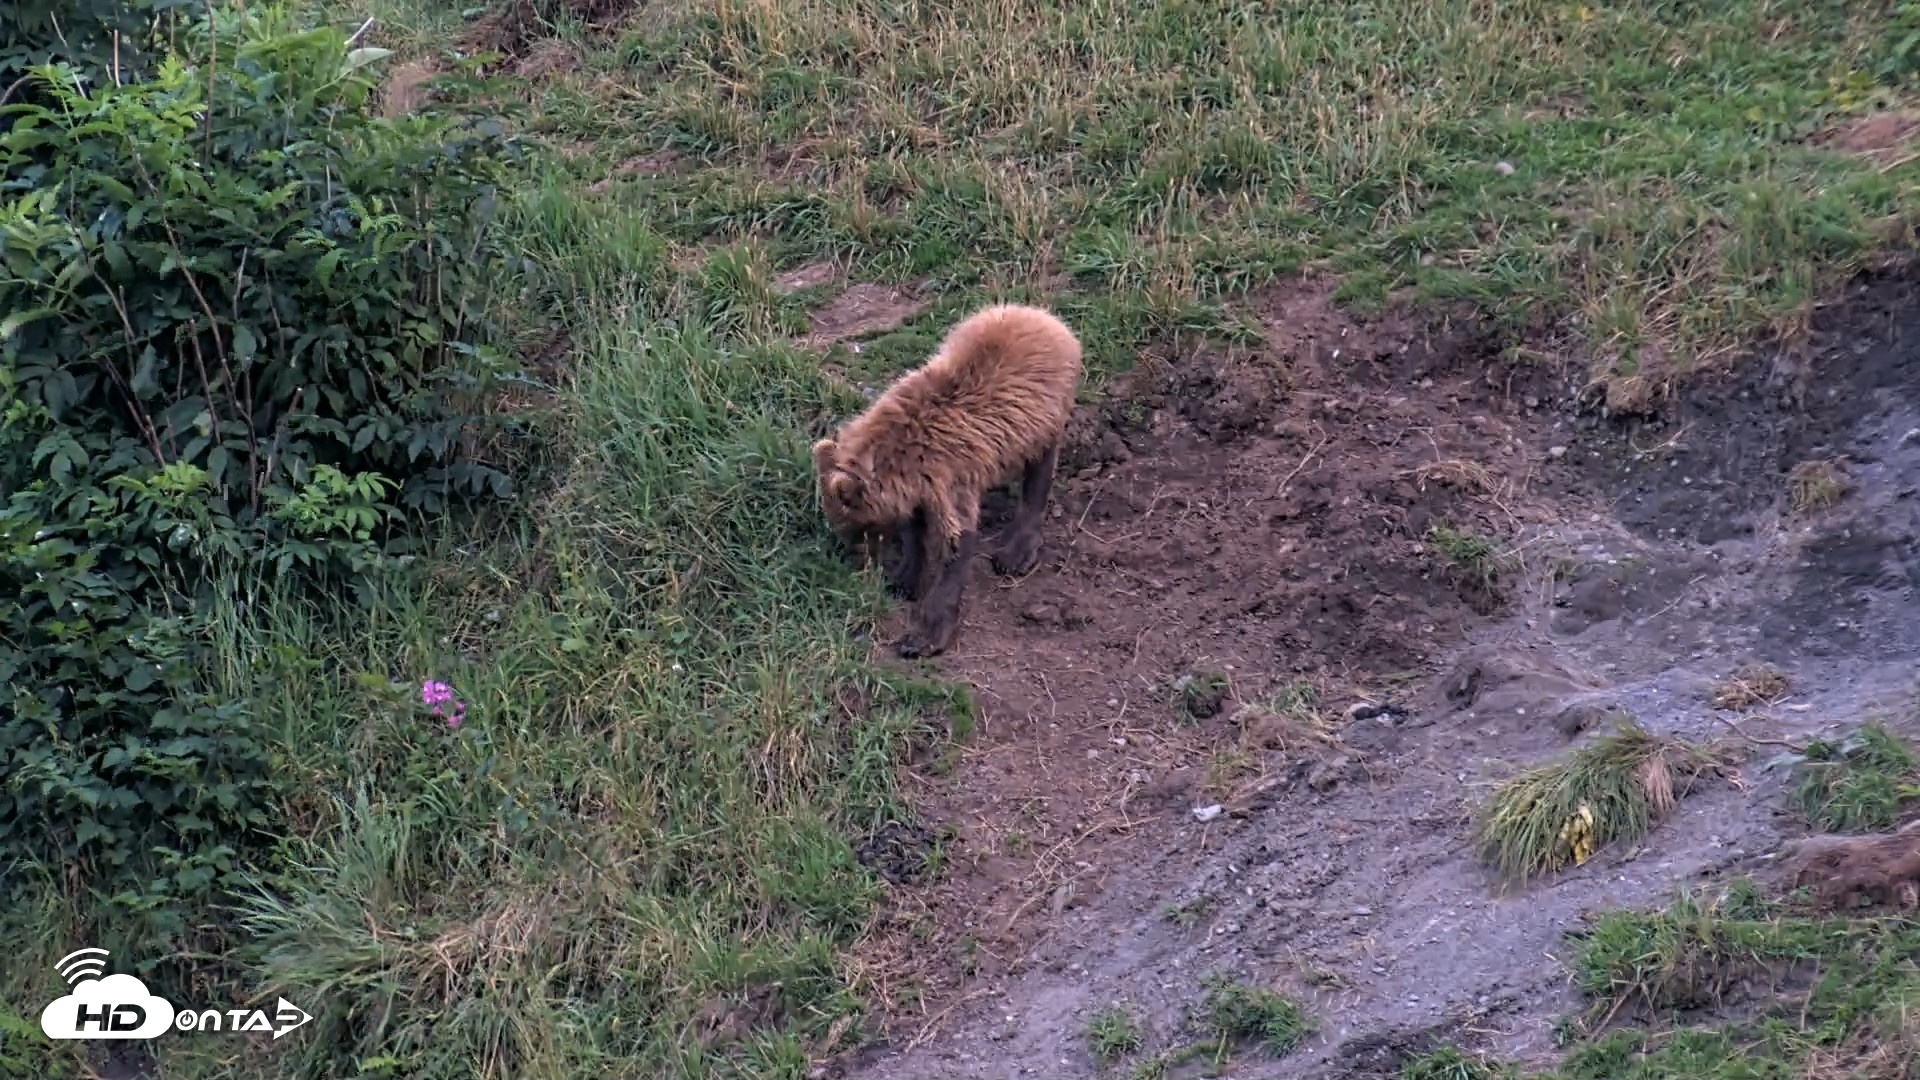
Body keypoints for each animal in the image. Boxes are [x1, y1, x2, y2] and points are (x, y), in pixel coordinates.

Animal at [812, 302, 1083, 658]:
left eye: (853, 526)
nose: (845, 549)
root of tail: (1043, 315)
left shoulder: (949, 474)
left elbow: (955, 539)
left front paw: (924, 636)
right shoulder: (921, 484)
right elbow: (916, 527)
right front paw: (903, 578)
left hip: (1041, 416)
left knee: (1039, 471)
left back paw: (1016, 553)